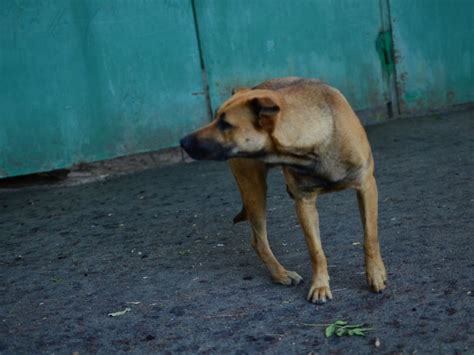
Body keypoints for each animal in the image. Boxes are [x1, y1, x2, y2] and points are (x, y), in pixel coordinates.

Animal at [180, 77, 386, 304]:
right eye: (216, 118)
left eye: (225, 124)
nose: (182, 141)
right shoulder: (303, 202)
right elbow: (316, 250)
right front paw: (320, 285)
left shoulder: (367, 187)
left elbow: (370, 237)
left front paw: (376, 274)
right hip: (254, 190)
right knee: (258, 241)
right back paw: (280, 274)